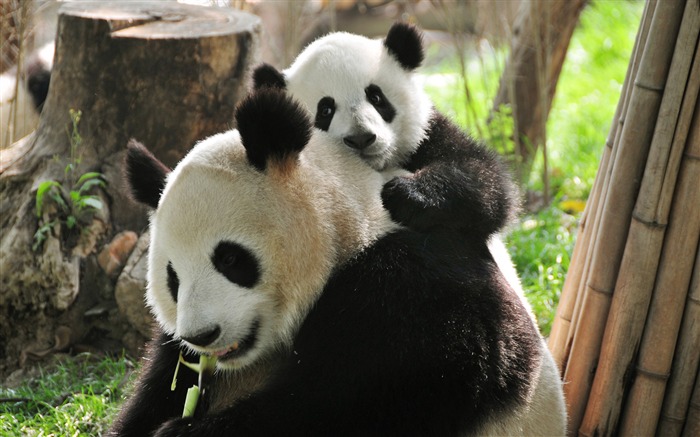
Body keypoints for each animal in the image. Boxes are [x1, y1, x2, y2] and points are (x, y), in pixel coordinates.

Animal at [112, 87, 568, 432]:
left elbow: (344, 403)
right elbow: (160, 394)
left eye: (229, 259)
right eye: (173, 279)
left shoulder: (415, 295)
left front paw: (184, 431)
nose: (202, 335)